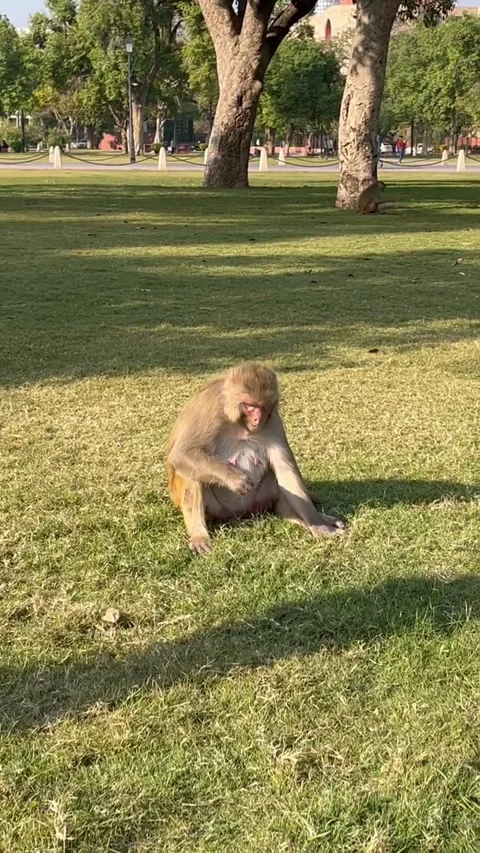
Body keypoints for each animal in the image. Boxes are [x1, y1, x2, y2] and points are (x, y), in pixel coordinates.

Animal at [166, 362, 346, 555]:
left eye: (263, 406)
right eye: (250, 405)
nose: (257, 419)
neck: (237, 421)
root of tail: (240, 514)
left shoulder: (273, 419)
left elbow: (286, 471)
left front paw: (317, 523)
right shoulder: (209, 406)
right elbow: (182, 453)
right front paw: (234, 479)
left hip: (258, 501)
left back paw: (295, 516)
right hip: (214, 509)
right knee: (190, 472)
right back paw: (199, 534)